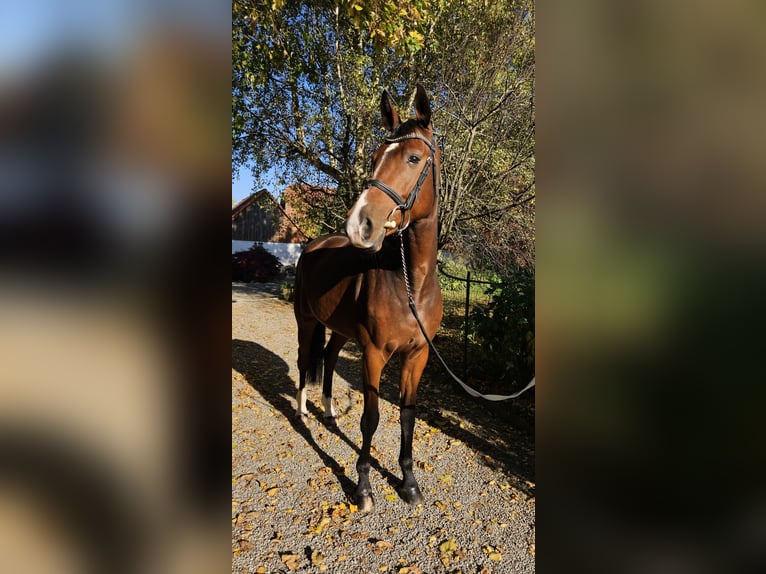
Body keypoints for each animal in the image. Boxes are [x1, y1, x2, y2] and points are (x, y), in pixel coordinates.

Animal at [293, 84, 443, 512]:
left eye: (413, 158)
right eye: (374, 158)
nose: (359, 224)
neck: (412, 285)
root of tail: (314, 244)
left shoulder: (416, 355)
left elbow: (407, 415)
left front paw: (409, 483)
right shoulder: (374, 353)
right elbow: (371, 418)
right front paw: (363, 487)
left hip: (340, 330)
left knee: (327, 359)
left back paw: (329, 415)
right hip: (306, 321)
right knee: (304, 360)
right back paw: (304, 413)